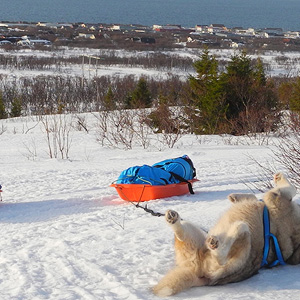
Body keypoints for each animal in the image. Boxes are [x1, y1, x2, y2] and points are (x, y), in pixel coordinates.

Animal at [154, 172, 298, 296]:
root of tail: (200, 274)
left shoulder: (276, 199)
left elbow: (291, 189)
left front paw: (280, 179)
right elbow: (258, 196)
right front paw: (236, 197)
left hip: (243, 245)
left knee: (222, 257)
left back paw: (218, 241)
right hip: (193, 233)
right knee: (182, 234)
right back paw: (173, 220)